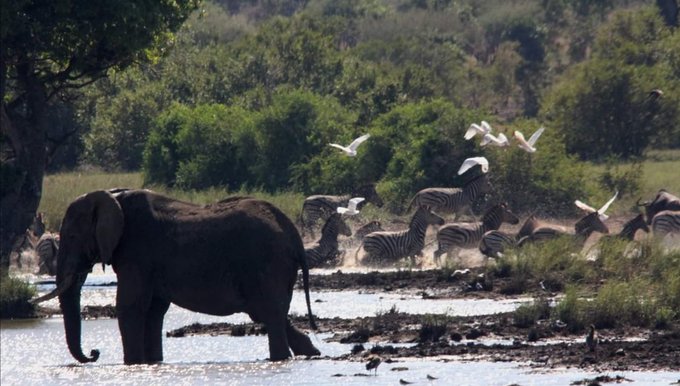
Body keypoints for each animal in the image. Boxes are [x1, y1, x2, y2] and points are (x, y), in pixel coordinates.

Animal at [35, 190, 322, 364]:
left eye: (72, 237)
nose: (95, 353)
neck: (114, 197)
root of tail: (294, 235)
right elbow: (153, 310)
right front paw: (152, 363)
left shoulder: (137, 253)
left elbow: (130, 306)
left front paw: (133, 363)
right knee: (270, 313)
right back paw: (310, 352)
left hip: (266, 263)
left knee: (268, 313)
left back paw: (281, 359)